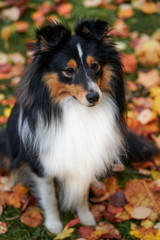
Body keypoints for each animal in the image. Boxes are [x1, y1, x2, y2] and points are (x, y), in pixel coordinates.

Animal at [0, 19, 131, 233]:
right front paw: (54, 225)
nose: (94, 97)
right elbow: (50, 197)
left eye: (95, 65)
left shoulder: (85, 158)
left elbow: (82, 193)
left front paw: (85, 217)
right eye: (69, 70)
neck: (75, 108)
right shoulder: (42, 164)